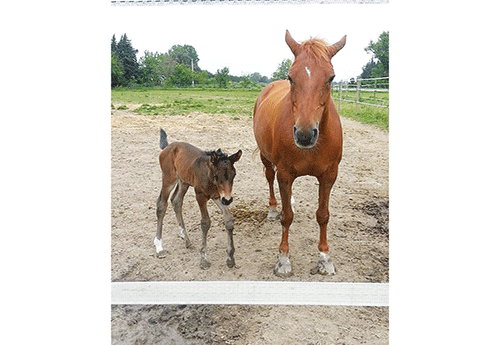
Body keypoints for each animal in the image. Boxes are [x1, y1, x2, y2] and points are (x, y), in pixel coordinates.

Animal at [155, 128, 243, 268]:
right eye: (216, 175)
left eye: (233, 174)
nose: (228, 200)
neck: (209, 177)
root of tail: (167, 147)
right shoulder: (200, 196)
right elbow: (205, 222)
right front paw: (203, 259)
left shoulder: (217, 196)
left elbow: (229, 219)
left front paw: (230, 258)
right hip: (169, 178)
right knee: (161, 205)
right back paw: (159, 247)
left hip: (183, 181)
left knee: (176, 201)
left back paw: (186, 239)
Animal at [254, 30, 344, 276]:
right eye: (291, 77)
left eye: (331, 78)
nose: (304, 135)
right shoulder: (285, 174)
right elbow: (287, 217)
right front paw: (283, 259)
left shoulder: (329, 176)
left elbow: (323, 215)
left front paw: (325, 257)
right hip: (266, 158)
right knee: (269, 178)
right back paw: (272, 209)